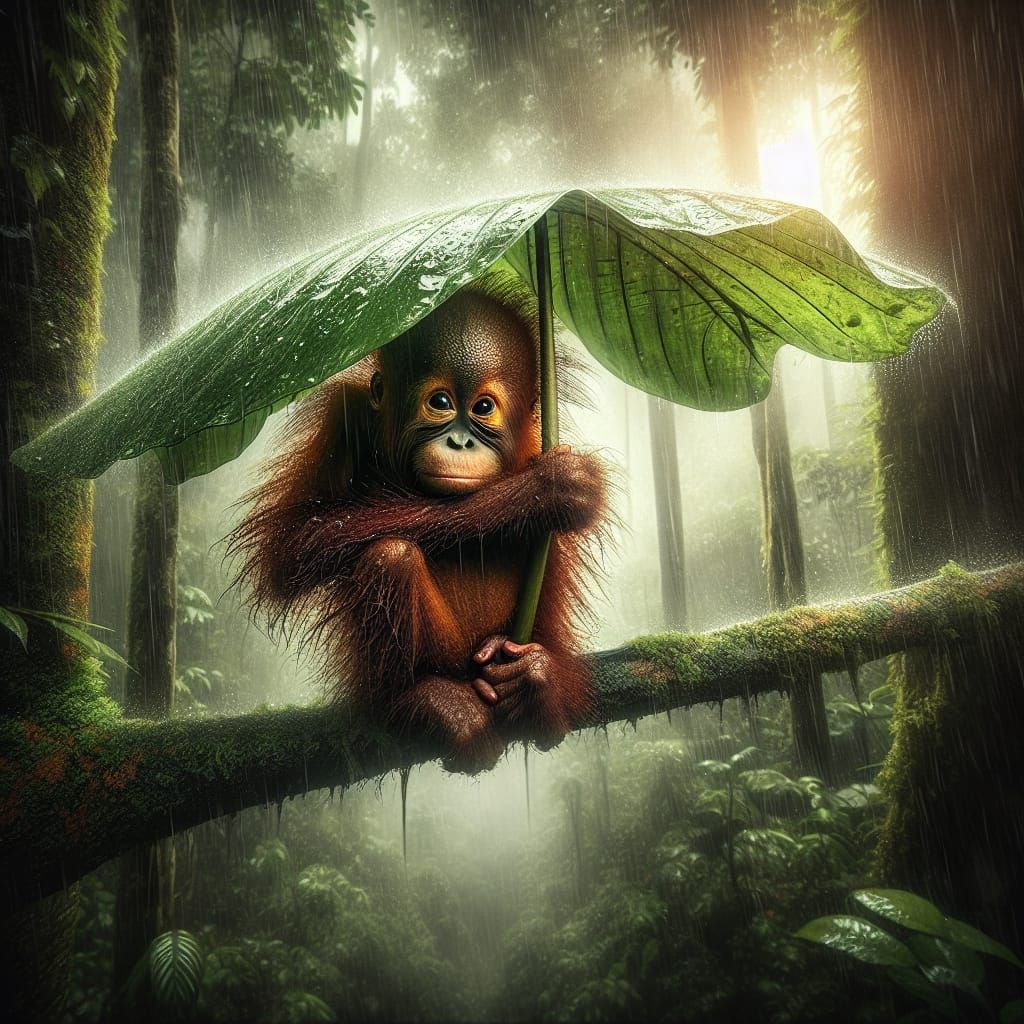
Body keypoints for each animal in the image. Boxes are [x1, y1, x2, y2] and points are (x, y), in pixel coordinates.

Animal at [229, 273, 609, 772]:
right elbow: (296, 544)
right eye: (441, 402)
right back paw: (425, 703)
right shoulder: (342, 417)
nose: (461, 442)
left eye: (483, 408)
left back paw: (537, 686)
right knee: (390, 556)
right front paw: (544, 490)